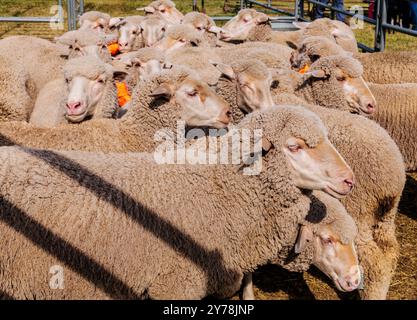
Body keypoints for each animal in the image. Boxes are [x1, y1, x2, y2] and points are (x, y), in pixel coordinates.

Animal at [216, 62, 404, 298]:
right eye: (244, 84)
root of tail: (395, 174)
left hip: (361, 211)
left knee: (374, 261)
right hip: (386, 216)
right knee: (390, 253)